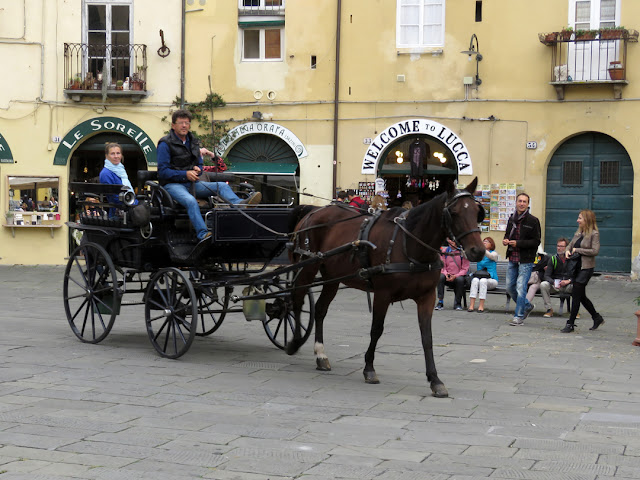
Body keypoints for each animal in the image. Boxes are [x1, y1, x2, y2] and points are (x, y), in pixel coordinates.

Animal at [286, 178, 484, 396]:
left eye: (477, 211)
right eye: (454, 212)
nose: (478, 251)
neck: (409, 244)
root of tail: (312, 211)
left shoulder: (427, 297)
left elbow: (427, 337)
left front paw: (434, 379)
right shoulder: (383, 294)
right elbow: (376, 329)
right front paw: (369, 369)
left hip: (332, 277)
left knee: (320, 310)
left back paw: (321, 355)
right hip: (307, 268)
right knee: (297, 300)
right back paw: (295, 342)